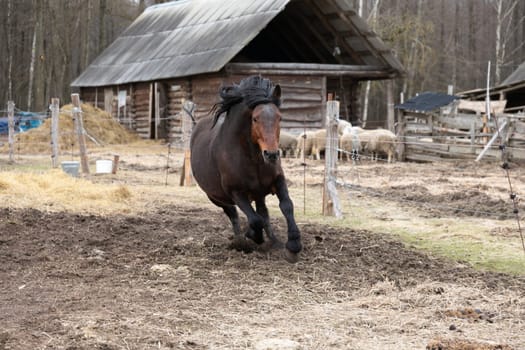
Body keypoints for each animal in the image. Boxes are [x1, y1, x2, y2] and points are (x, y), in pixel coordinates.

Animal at [190, 76, 300, 262]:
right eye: (255, 118)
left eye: (279, 117)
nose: (271, 154)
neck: (253, 158)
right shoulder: (236, 192)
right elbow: (254, 220)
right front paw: (253, 236)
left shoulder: (278, 180)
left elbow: (286, 205)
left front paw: (293, 245)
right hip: (216, 197)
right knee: (234, 214)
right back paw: (241, 240)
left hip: (258, 193)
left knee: (263, 212)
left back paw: (274, 241)